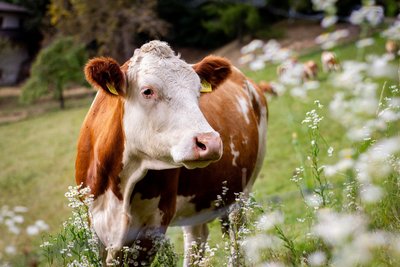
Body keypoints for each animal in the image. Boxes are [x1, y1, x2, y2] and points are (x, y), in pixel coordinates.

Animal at [75, 40, 268, 266]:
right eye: (147, 91)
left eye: (198, 91)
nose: (210, 142)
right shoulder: (92, 225)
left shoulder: (152, 227)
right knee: (196, 240)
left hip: (242, 193)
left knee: (236, 238)